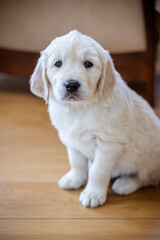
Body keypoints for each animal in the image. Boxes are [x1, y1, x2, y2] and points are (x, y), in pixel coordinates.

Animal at [30, 30, 160, 207]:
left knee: (146, 178)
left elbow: (98, 171)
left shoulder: (109, 145)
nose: (71, 85)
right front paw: (74, 179)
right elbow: (76, 162)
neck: (79, 109)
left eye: (88, 64)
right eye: (58, 63)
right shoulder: (71, 140)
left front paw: (93, 194)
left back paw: (125, 183)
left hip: (150, 160)